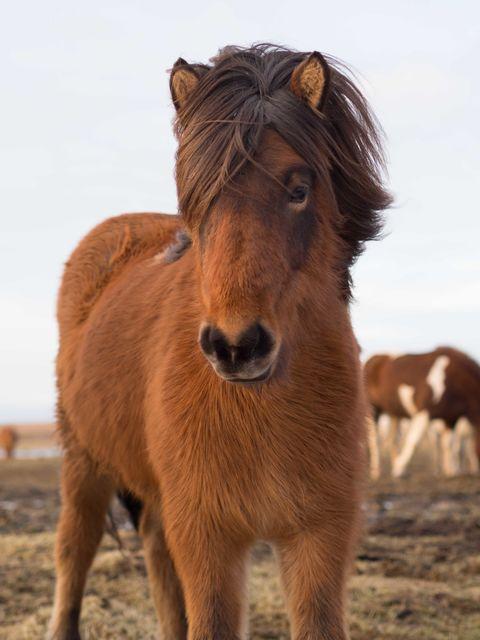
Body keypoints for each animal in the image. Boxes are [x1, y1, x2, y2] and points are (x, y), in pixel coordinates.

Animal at [50, 45, 392, 640]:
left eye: (299, 190)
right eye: (199, 199)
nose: (237, 346)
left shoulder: (320, 538)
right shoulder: (207, 538)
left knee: (157, 560)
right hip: (83, 462)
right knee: (75, 550)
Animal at [366, 348, 478, 478]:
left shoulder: (450, 419)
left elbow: (449, 445)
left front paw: (452, 472)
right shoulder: (424, 412)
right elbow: (413, 441)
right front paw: (399, 467)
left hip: (395, 414)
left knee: (394, 439)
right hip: (373, 408)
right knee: (374, 439)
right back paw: (376, 471)